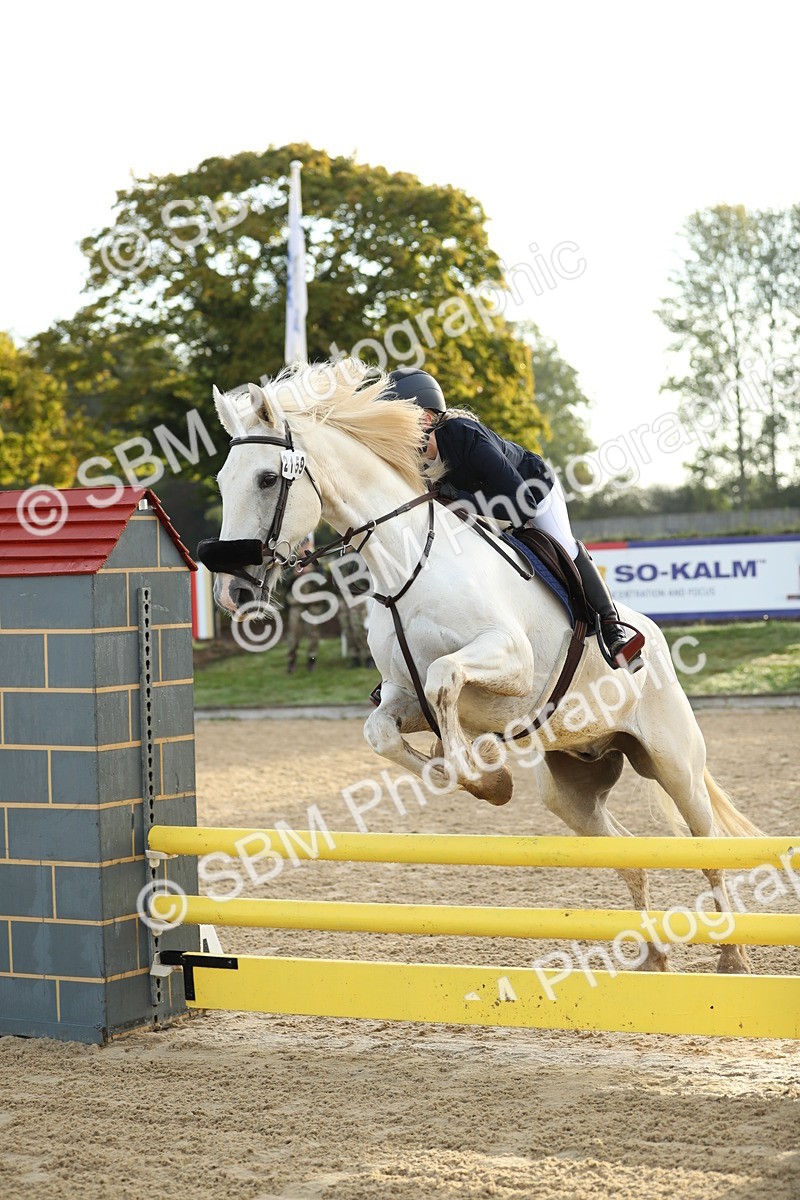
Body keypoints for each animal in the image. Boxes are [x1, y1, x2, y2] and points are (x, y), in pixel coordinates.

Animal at [202, 358, 762, 975]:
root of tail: (656, 639)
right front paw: (478, 780)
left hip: (673, 762)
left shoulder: (508, 662)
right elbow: (382, 732)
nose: (232, 592)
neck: (407, 560)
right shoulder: (401, 694)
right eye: (223, 481)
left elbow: (446, 677)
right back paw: (655, 959)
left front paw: (482, 776)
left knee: (706, 846)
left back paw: (732, 960)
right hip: (572, 789)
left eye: (266, 479)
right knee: (626, 849)